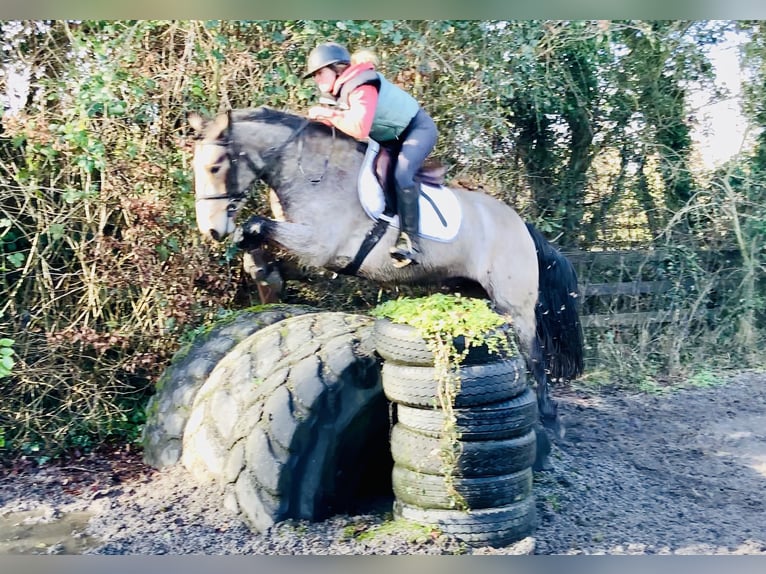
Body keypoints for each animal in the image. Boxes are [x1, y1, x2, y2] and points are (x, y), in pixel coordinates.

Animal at [188, 106, 584, 470]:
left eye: (216, 167)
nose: (211, 230)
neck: (312, 173)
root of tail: (522, 225)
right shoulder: (316, 253)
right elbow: (257, 238)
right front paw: (260, 272)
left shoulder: (319, 245)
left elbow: (256, 225)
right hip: (473, 293)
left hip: (514, 306)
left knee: (535, 359)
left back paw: (550, 423)